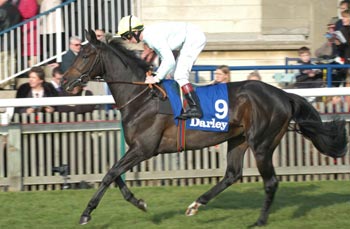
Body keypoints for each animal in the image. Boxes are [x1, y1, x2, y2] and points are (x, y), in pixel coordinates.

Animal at [60, 30, 348, 227]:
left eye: (85, 55)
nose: (63, 81)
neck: (141, 96)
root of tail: (283, 95)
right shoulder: (136, 149)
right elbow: (115, 174)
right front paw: (140, 203)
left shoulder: (144, 149)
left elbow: (110, 174)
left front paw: (86, 213)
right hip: (239, 139)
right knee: (232, 174)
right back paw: (196, 205)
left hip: (262, 143)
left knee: (270, 182)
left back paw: (259, 221)